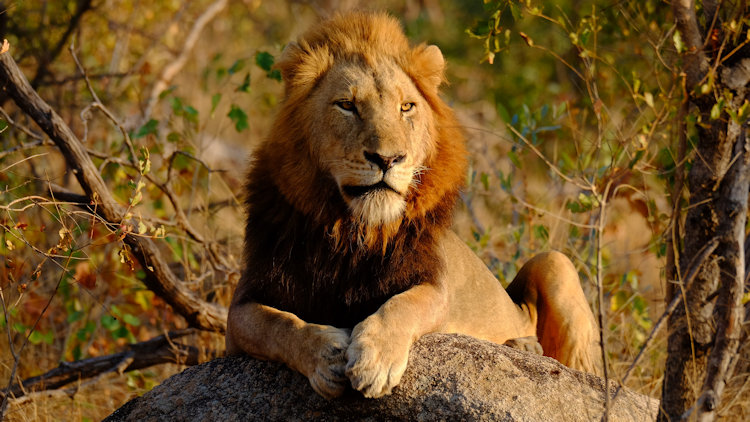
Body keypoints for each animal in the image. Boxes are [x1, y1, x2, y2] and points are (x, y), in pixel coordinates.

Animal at [225, 10, 604, 398]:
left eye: (406, 107)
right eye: (347, 106)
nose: (388, 159)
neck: (353, 230)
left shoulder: (435, 286)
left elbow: (403, 305)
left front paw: (375, 361)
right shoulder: (242, 307)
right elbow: (278, 325)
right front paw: (325, 356)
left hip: (555, 262)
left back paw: (527, 347)